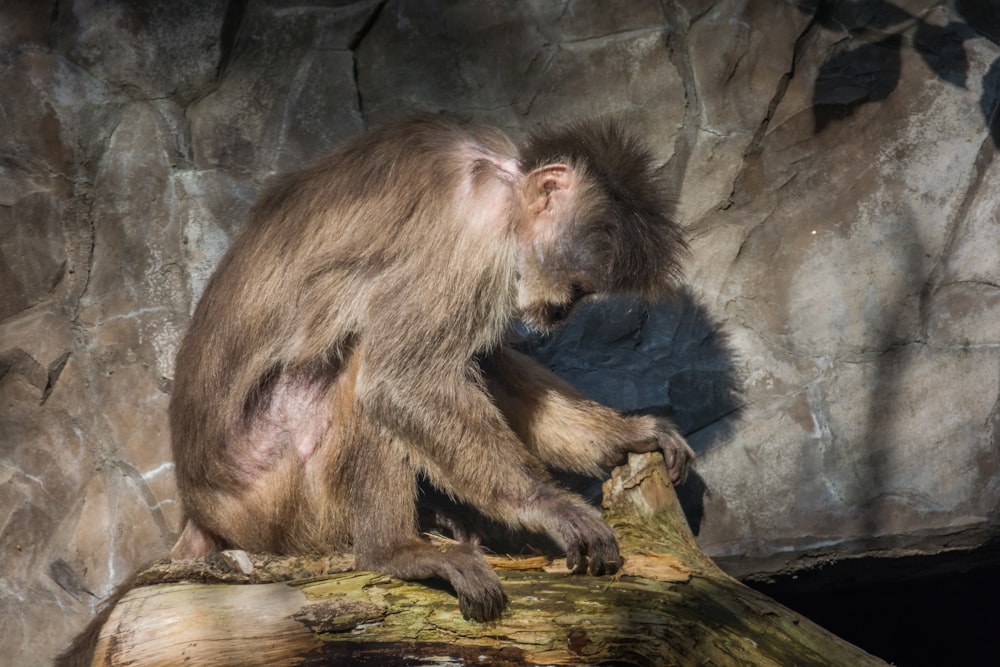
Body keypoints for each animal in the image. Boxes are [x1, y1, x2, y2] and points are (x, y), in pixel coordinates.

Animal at [166, 113, 696, 620]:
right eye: (579, 288)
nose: (562, 312)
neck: (499, 174)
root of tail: (200, 508)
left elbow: (482, 365)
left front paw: (627, 435)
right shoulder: (475, 228)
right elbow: (403, 383)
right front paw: (548, 505)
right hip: (274, 498)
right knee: (363, 365)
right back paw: (392, 552)